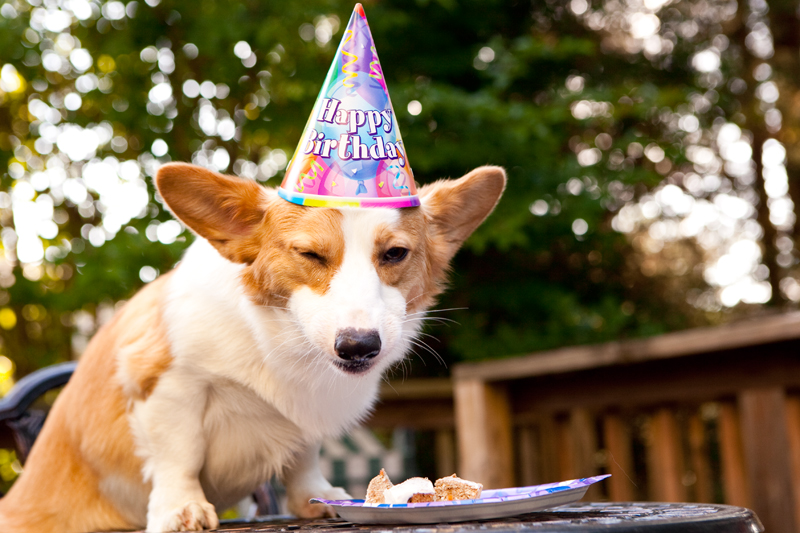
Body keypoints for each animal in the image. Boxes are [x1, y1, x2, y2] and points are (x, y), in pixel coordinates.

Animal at [0, 163, 504, 532]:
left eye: (395, 254)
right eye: (310, 255)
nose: (358, 347)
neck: (281, 340)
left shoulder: (305, 420)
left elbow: (304, 460)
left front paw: (318, 498)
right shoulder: (167, 384)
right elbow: (178, 455)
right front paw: (181, 509)